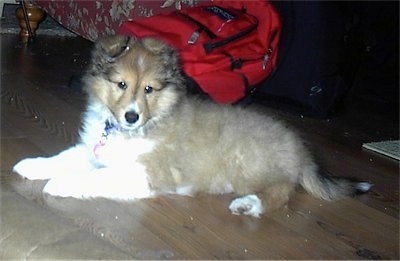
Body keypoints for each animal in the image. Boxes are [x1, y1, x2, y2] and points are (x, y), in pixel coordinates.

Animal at [12, 35, 370, 216]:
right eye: (121, 84)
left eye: (149, 89)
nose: (131, 116)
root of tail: (301, 150)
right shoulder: (93, 151)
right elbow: (64, 157)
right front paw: (30, 165)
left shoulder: (144, 173)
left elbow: (95, 177)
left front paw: (60, 184)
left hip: (249, 164)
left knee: (280, 192)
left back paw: (248, 204)